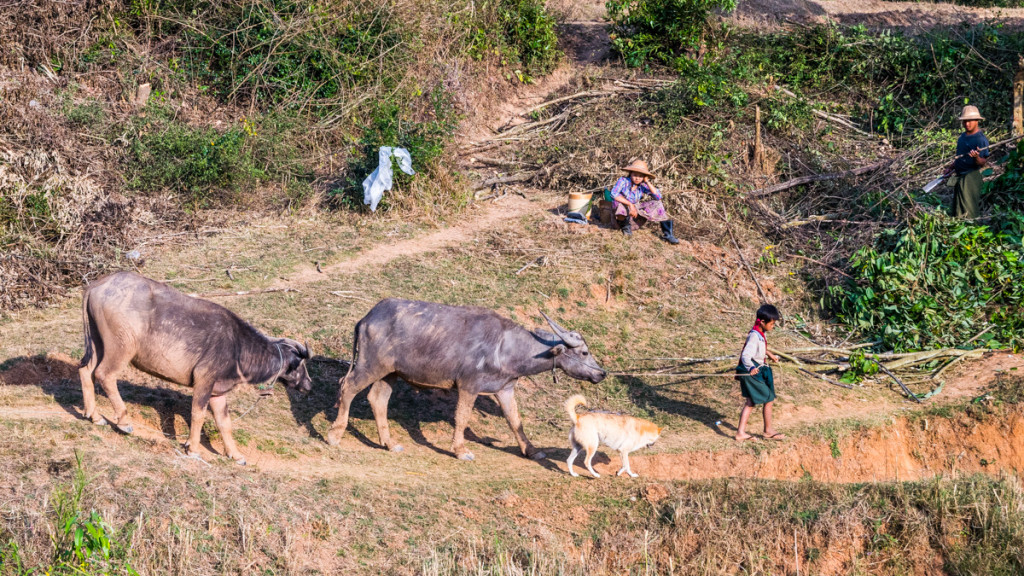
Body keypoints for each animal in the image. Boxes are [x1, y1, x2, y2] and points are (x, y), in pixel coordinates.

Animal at [78, 270, 311, 463]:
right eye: (301, 365)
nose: (308, 384)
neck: (239, 347)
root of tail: (97, 285)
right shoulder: (204, 381)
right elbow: (198, 414)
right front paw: (194, 449)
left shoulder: (218, 392)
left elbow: (224, 423)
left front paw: (236, 455)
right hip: (121, 348)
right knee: (105, 374)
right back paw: (123, 422)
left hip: (97, 343)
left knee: (85, 370)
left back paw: (94, 416)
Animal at [323, 297, 602, 459]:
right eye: (584, 352)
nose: (601, 372)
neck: (504, 347)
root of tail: (367, 318)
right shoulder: (469, 386)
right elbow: (462, 417)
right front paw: (460, 450)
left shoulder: (505, 389)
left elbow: (515, 420)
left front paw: (532, 451)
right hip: (370, 365)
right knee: (347, 387)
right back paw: (334, 435)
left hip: (390, 373)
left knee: (377, 399)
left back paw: (390, 444)